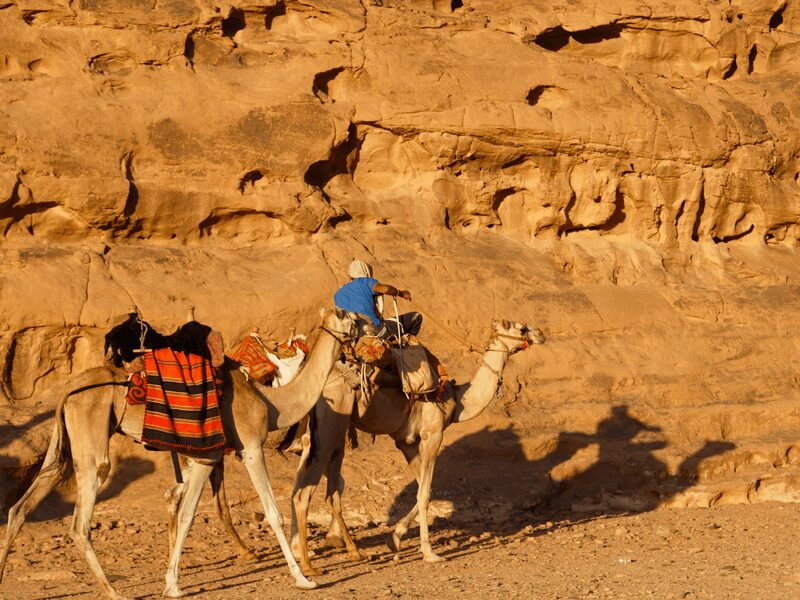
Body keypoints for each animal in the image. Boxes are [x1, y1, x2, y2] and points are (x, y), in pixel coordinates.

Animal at [0, 310, 356, 600]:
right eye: (354, 319)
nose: (359, 350)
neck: (271, 405)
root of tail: (66, 391)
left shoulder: (205, 457)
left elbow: (186, 513)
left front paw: (172, 584)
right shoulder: (251, 448)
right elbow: (272, 512)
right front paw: (303, 579)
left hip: (63, 445)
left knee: (20, 507)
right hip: (91, 439)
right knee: (79, 521)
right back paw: (113, 591)